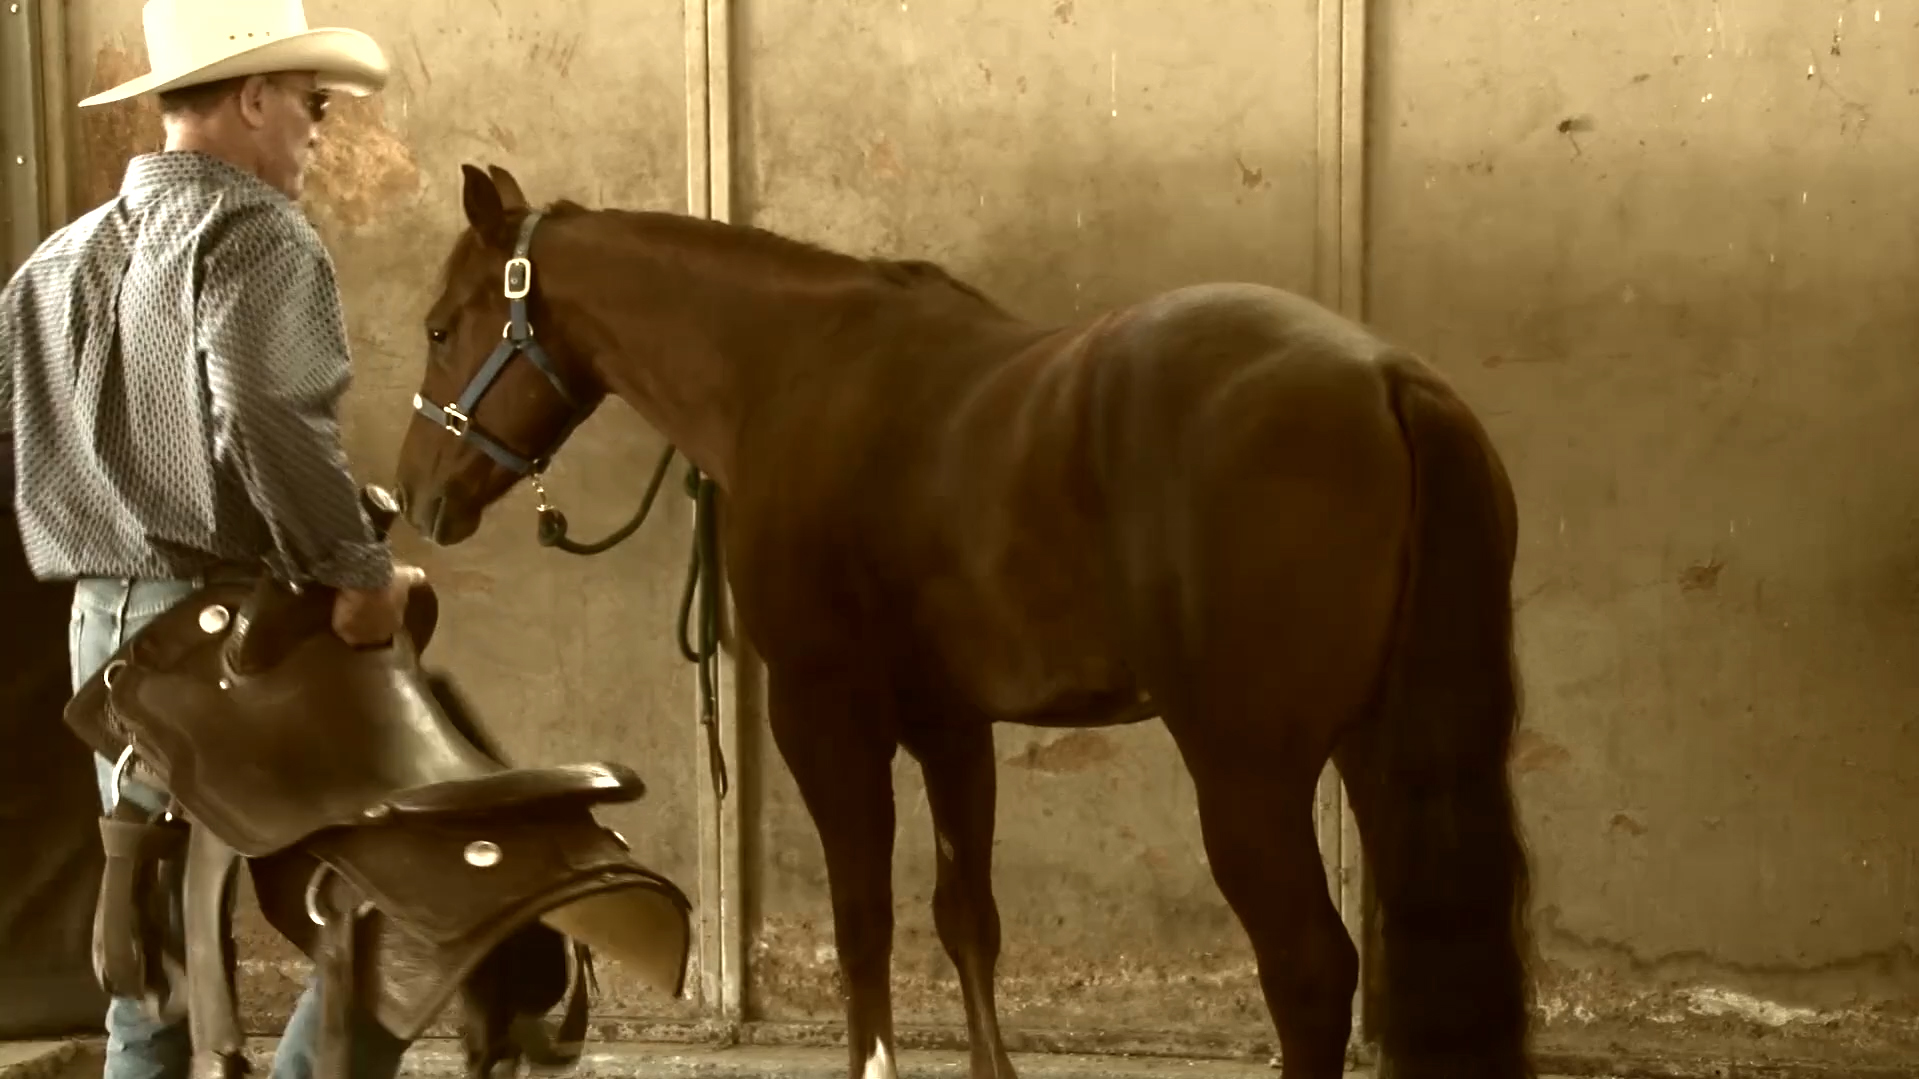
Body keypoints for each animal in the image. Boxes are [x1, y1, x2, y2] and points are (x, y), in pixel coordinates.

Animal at [390, 162, 1536, 1079]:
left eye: (441, 326)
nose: (416, 494)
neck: (794, 369)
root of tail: (1385, 380)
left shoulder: (824, 715)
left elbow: (863, 921)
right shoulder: (951, 724)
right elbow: (965, 919)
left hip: (1247, 773)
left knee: (1308, 968)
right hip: (1381, 749)